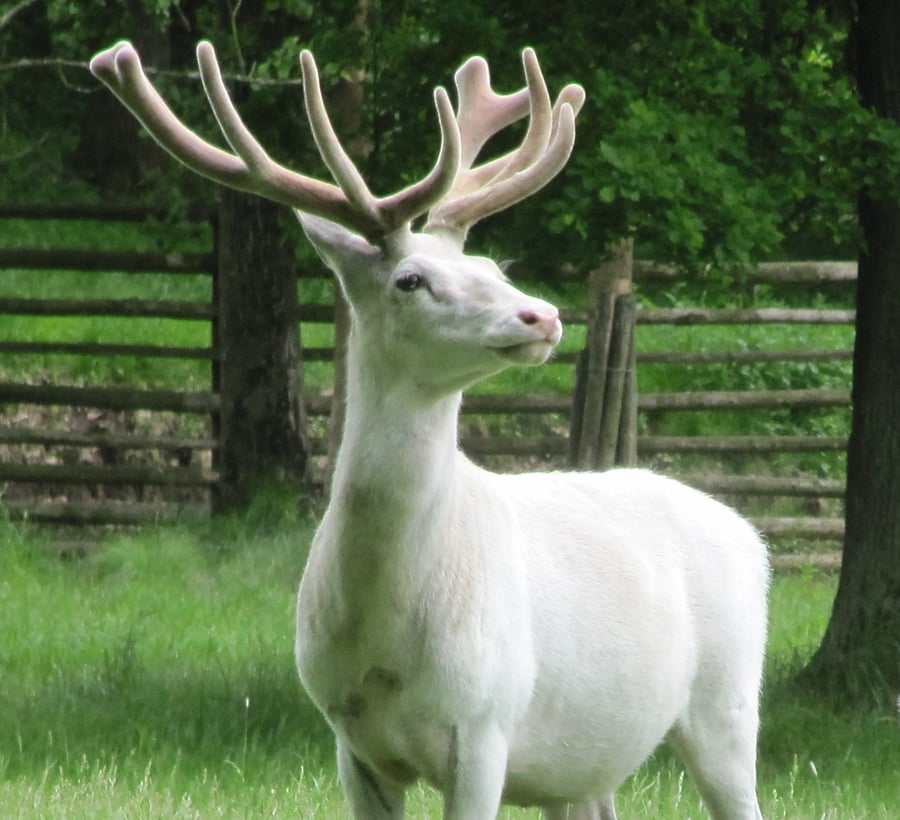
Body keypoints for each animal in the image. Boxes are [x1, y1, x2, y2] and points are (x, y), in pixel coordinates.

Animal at [90, 40, 769, 820]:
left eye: (489, 264)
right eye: (410, 280)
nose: (542, 314)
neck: (386, 642)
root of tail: (754, 538)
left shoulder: (485, 721)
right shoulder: (347, 738)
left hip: (728, 703)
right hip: (585, 769)